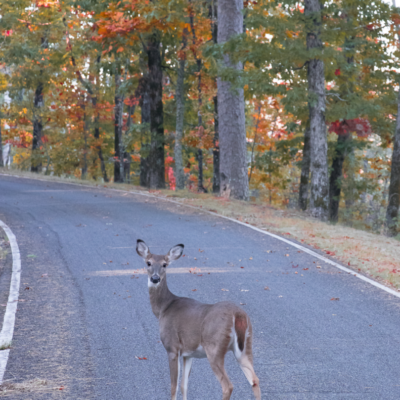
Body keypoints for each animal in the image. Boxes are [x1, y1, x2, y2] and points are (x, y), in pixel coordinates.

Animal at [136, 241, 260, 400]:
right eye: (148, 263)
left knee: (228, 385)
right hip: (245, 345)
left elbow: (173, 387)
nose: (155, 278)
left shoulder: (172, 347)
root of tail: (238, 315)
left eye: (165, 264)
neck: (163, 308)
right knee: (254, 379)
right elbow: (184, 385)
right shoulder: (188, 353)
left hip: (214, 347)